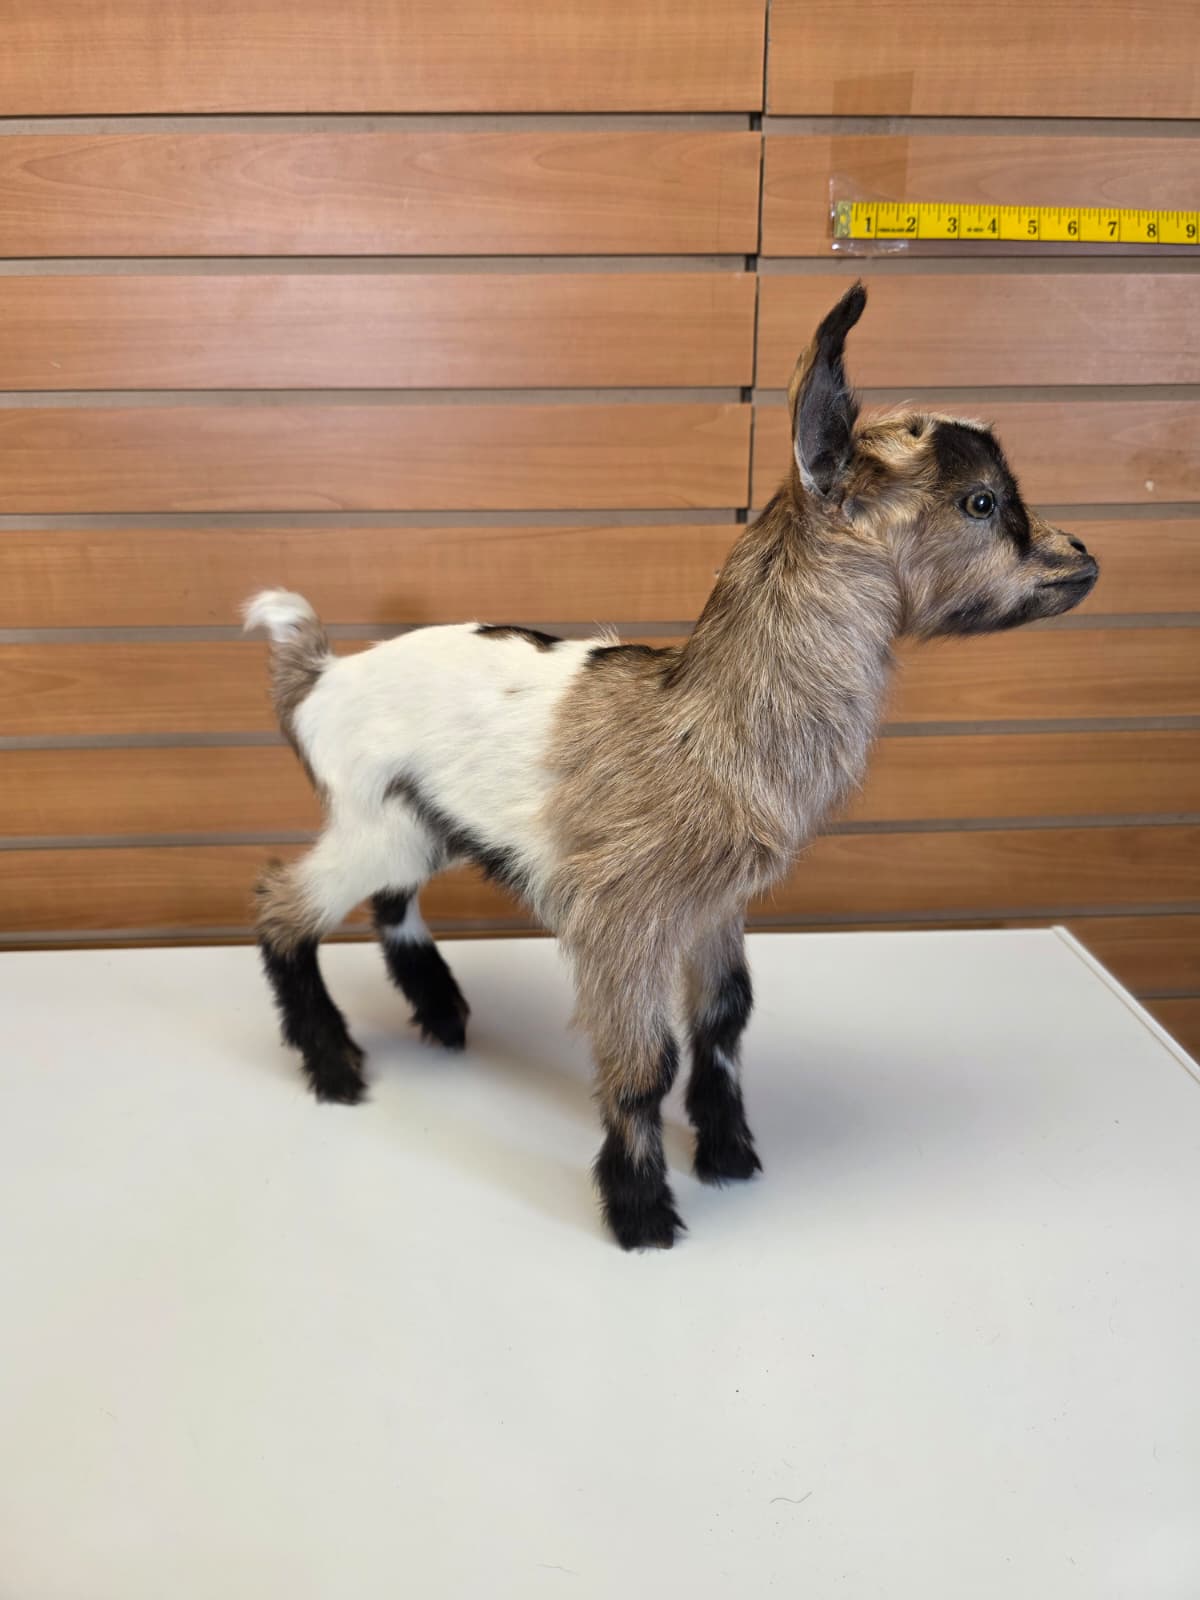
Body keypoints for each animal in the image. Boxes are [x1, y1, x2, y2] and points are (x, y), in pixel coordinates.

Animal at [244, 283, 1098, 1250]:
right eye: (982, 503)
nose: (1083, 557)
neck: (707, 718)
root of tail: (318, 675)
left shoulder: (714, 906)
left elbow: (724, 1020)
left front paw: (729, 1158)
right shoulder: (625, 919)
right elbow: (644, 1060)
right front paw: (642, 1213)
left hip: (419, 825)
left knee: (390, 902)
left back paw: (442, 1014)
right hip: (371, 820)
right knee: (281, 906)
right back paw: (337, 1070)